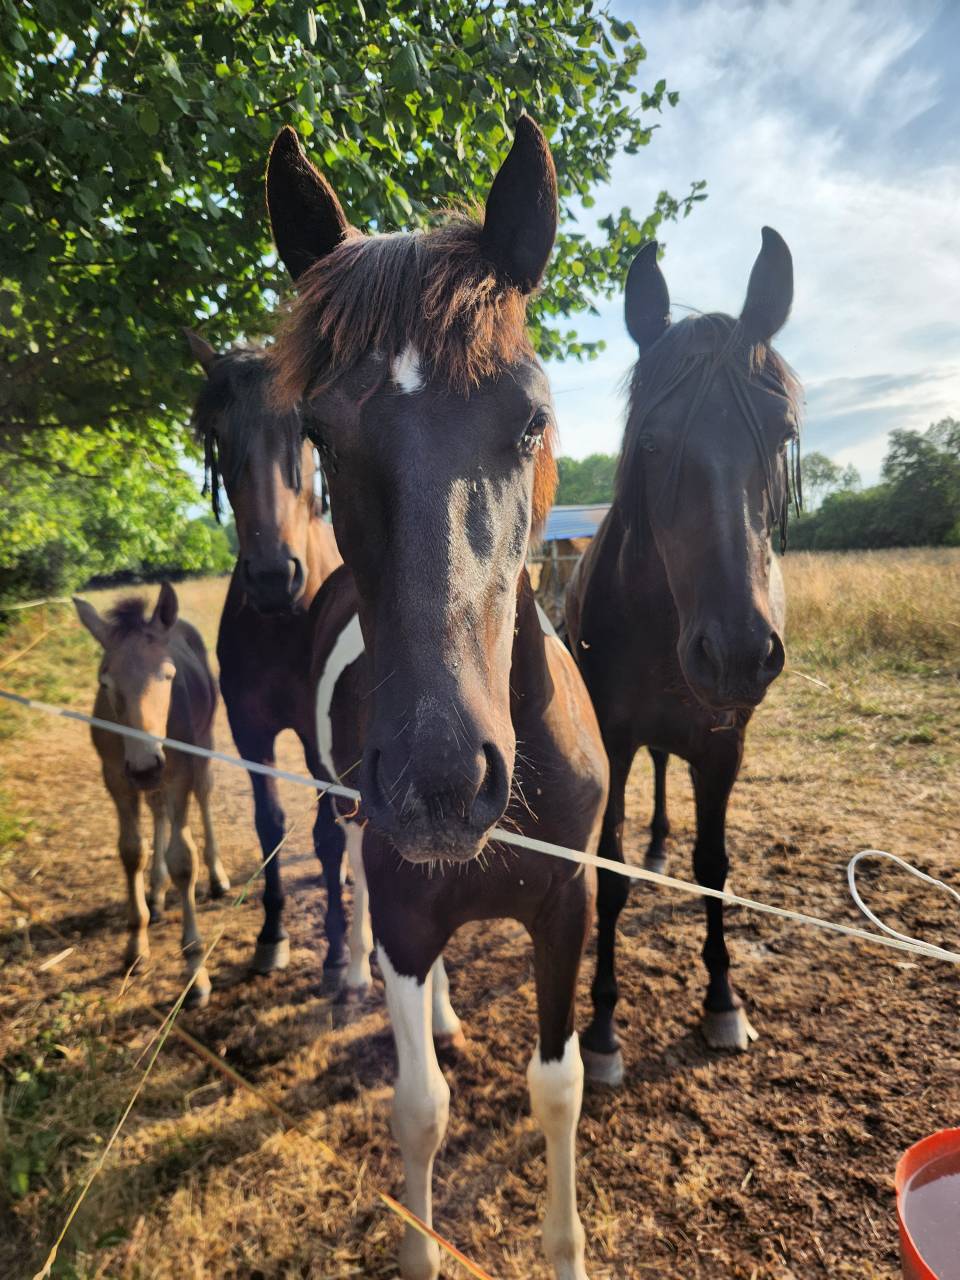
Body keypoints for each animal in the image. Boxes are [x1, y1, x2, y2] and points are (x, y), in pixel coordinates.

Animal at [73, 583, 227, 1006]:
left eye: (168, 675)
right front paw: (135, 946)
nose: (146, 766)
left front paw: (195, 972)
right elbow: (131, 851)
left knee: (203, 797)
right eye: (105, 682)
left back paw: (218, 877)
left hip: (202, 747)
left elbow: (183, 860)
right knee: (157, 812)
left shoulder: (178, 774)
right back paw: (155, 894)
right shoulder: (116, 777)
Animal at [187, 339, 348, 980]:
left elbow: (327, 835)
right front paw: (272, 934)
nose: (275, 578)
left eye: (304, 429)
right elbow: (269, 827)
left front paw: (337, 952)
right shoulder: (250, 730)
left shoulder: (319, 740)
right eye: (218, 434)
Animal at [266, 116, 608, 1280]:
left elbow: (559, 1087)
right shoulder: (411, 906)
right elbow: (419, 1110)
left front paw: (565, 1248)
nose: (441, 782)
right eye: (321, 438)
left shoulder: (566, 906)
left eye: (532, 420)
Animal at [566, 229, 802, 1079]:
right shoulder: (611, 739)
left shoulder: (722, 745)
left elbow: (715, 870)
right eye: (652, 442)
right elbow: (607, 879)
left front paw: (724, 1001)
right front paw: (602, 1028)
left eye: (783, 435)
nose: (737, 654)